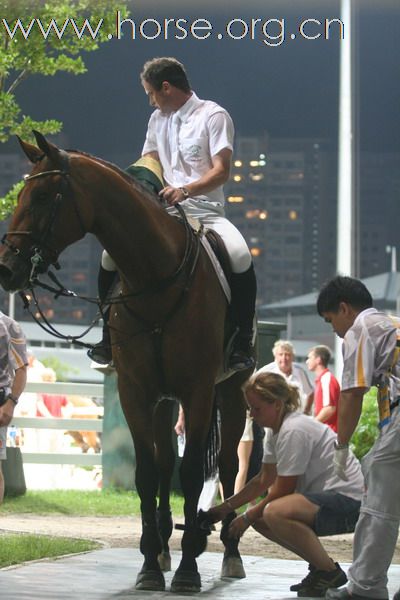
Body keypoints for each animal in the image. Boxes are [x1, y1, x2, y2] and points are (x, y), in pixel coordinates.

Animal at [0, 130, 253, 592]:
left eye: (44, 196)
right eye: (22, 193)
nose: (7, 270)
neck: (156, 276)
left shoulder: (198, 391)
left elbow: (194, 474)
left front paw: (189, 570)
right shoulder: (136, 391)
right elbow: (148, 473)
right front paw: (152, 563)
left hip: (228, 394)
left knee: (227, 465)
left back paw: (228, 552)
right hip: (166, 401)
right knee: (168, 461)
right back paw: (168, 545)